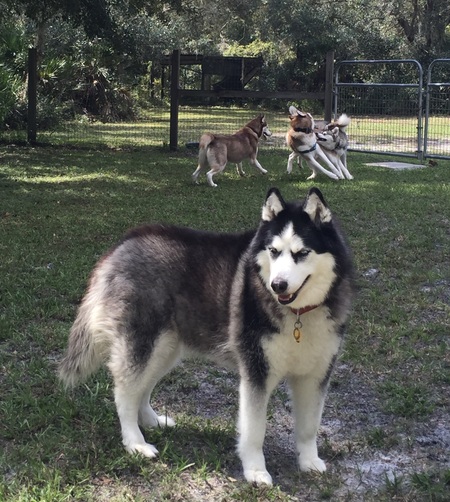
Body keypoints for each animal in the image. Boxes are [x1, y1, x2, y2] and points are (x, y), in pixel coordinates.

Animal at [59, 186, 354, 484]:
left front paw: (309, 461)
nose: (277, 285)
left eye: (302, 252)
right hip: (142, 343)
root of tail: (125, 241)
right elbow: (255, 430)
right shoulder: (256, 372)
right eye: (273, 251)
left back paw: (152, 421)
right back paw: (135, 442)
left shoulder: (316, 375)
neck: (298, 315)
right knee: (124, 393)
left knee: (142, 386)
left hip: (165, 349)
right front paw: (256, 470)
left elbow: (309, 427)